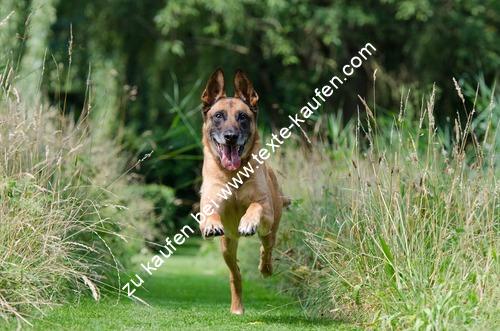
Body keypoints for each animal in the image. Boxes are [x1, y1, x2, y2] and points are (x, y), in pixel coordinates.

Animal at [198, 68, 288, 316]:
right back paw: (237, 306)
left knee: (266, 249)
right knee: (235, 274)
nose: (230, 136)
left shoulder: (264, 208)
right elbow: (210, 214)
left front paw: (247, 222)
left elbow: (255, 206)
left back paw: (265, 268)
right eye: (218, 116)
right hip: (227, 246)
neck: (233, 174)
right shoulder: (209, 203)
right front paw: (211, 224)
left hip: (270, 229)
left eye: (242, 117)